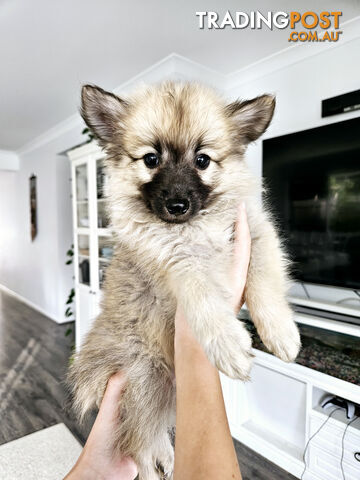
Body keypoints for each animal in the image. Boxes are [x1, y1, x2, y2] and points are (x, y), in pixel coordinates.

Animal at [68, 81, 300, 480]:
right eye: (150, 159)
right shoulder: (176, 263)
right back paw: (156, 464)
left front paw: (281, 333)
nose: (177, 205)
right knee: (139, 443)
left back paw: (167, 456)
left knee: (151, 431)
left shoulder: (254, 232)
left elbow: (265, 280)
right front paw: (227, 343)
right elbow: (202, 294)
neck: (193, 227)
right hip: (146, 376)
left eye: (202, 160)